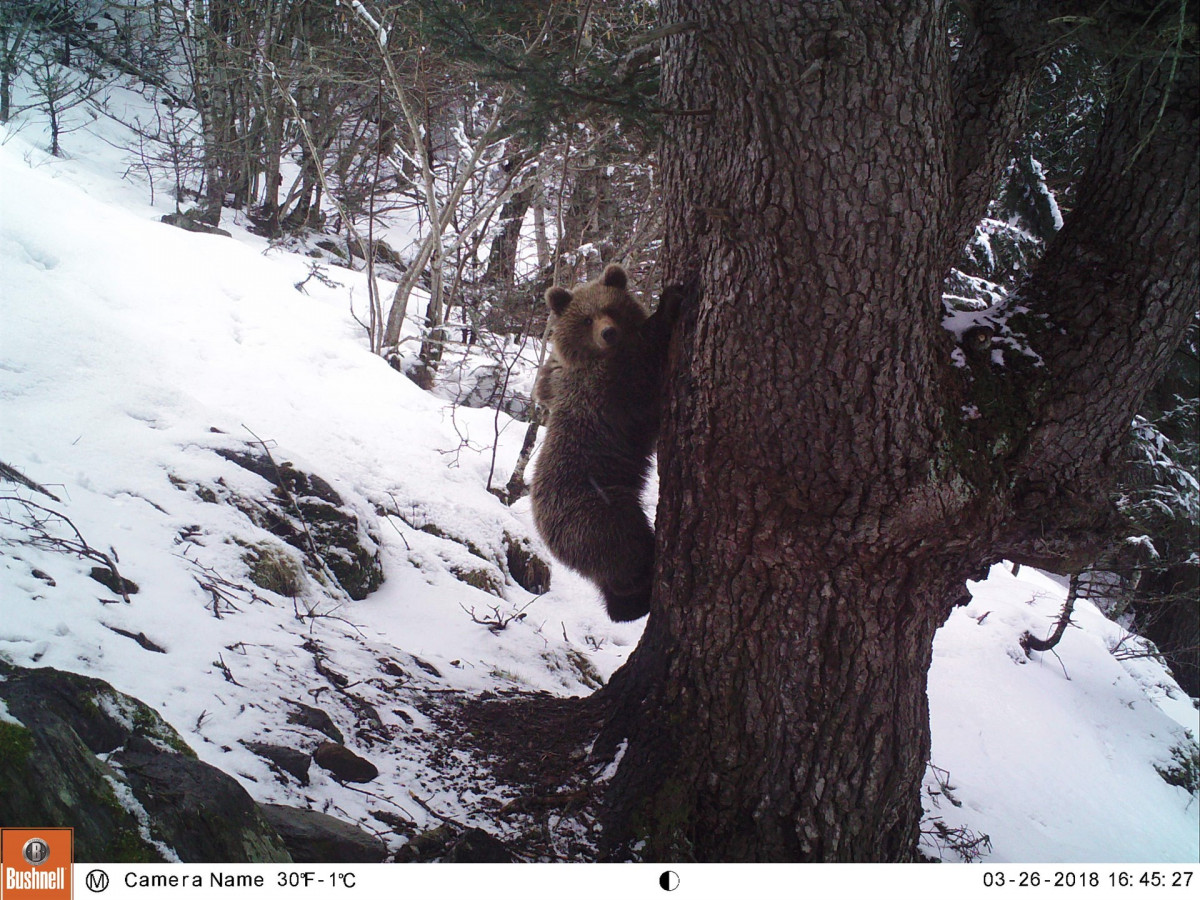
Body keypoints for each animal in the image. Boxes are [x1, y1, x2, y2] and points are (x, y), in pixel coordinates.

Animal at [528, 264, 681, 624]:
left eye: (610, 308)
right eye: (586, 319)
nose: (608, 333)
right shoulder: (604, 389)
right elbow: (645, 368)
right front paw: (669, 301)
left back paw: (628, 606)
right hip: (597, 510)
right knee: (625, 546)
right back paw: (644, 580)